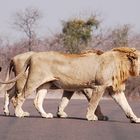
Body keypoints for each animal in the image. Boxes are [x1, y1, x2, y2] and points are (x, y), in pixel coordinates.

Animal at [1, 46, 140, 122]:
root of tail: (32, 56)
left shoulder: (115, 90)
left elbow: (126, 106)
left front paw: (135, 118)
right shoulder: (98, 87)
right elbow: (94, 103)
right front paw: (91, 116)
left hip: (44, 84)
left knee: (35, 100)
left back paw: (45, 115)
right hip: (31, 81)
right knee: (18, 97)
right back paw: (19, 113)